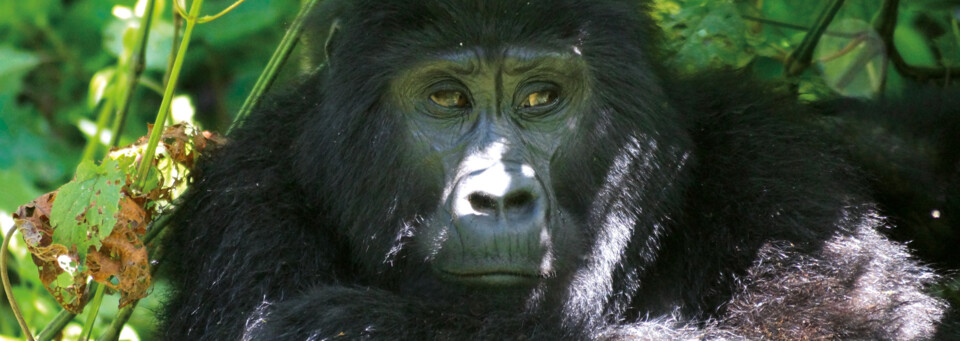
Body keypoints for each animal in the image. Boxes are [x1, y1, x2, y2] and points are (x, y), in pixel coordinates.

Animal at [161, 0, 948, 338]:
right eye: (446, 98)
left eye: (541, 97)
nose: (499, 196)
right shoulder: (246, 202)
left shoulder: (777, 175)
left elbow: (829, 325)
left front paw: (360, 326)